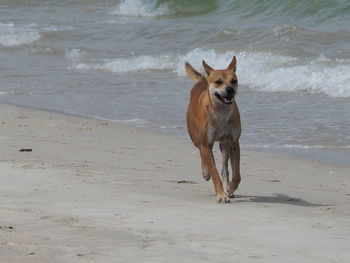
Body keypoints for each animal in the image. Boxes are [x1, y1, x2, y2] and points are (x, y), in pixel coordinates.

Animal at [186, 56, 241, 203]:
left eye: (234, 80)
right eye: (218, 82)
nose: (230, 89)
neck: (221, 112)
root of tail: (202, 80)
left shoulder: (234, 142)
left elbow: (237, 175)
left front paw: (229, 189)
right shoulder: (207, 143)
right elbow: (214, 172)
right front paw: (221, 194)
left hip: (224, 144)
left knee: (224, 167)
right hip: (195, 137)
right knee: (200, 150)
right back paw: (205, 171)